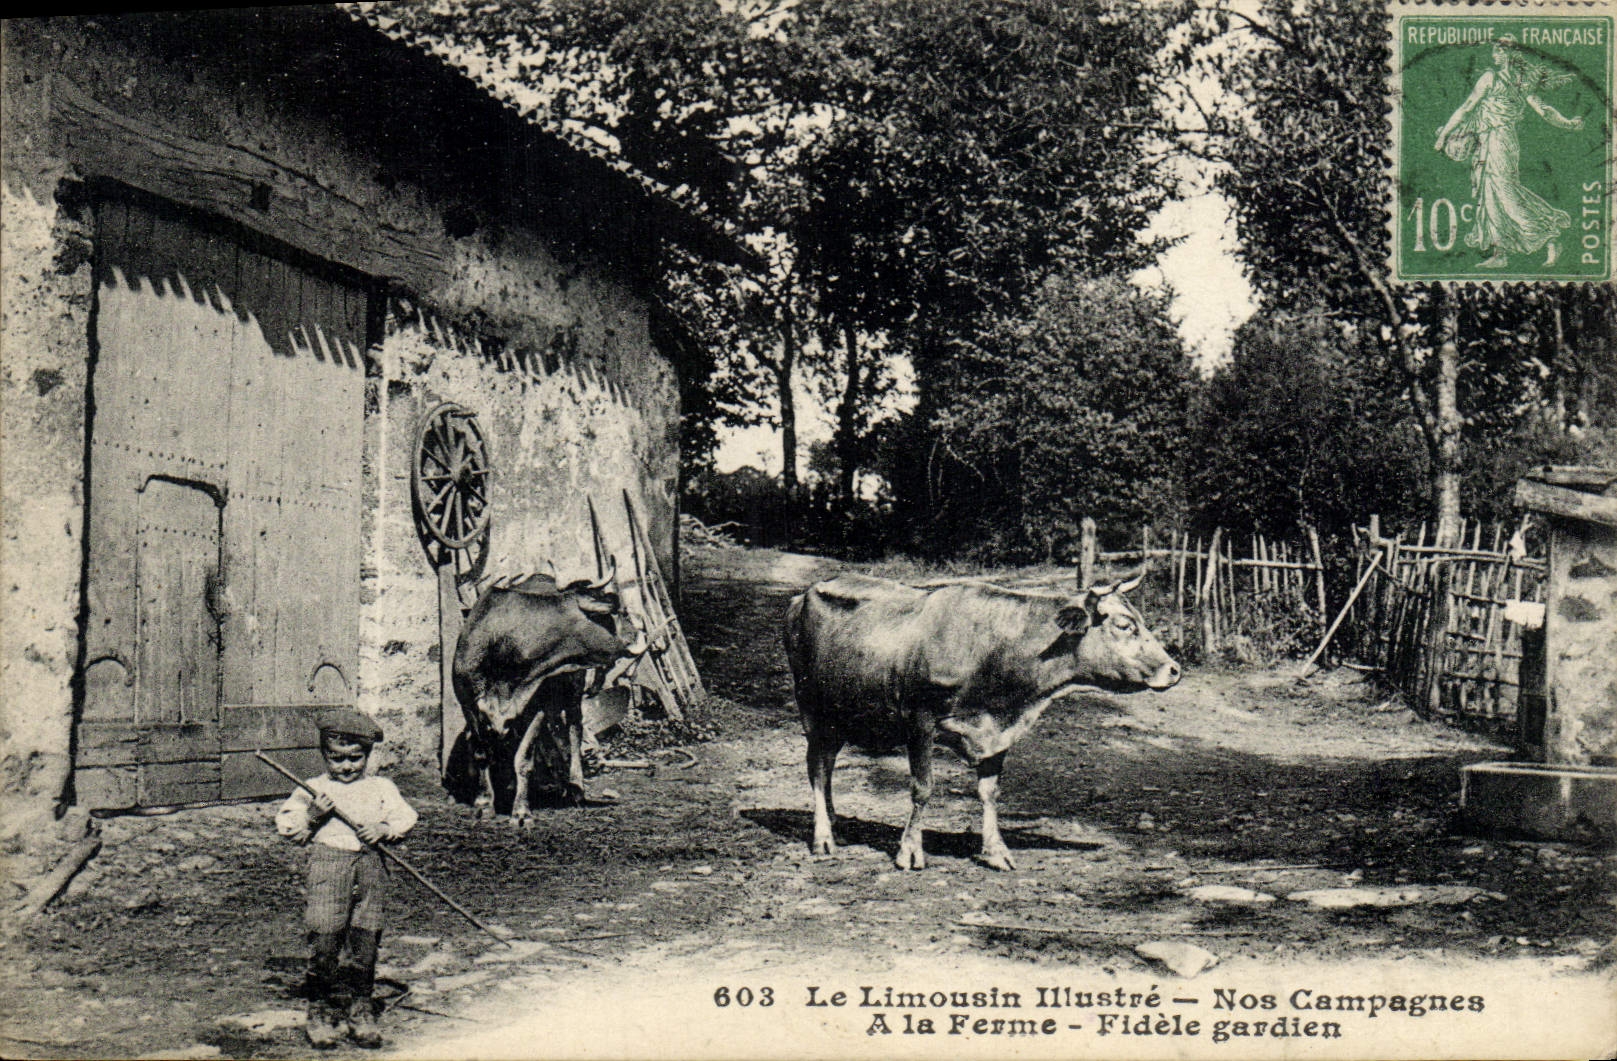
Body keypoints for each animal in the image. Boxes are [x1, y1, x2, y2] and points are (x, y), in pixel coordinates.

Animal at [452, 566, 644, 820]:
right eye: (617, 612)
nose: (638, 631)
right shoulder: (468, 704)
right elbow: (481, 751)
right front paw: (484, 803)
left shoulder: (536, 705)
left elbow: (524, 758)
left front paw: (521, 810)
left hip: (572, 692)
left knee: (573, 729)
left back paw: (575, 787)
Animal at [784, 571, 1179, 871]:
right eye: (1124, 625)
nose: (1174, 669)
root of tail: (803, 594)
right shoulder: (920, 720)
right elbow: (922, 788)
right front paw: (910, 851)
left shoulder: (998, 730)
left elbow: (990, 792)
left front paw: (996, 851)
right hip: (811, 707)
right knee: (816, 766)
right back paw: (822, 836)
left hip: (839, 715)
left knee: (828, 765)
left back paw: (834, 823)